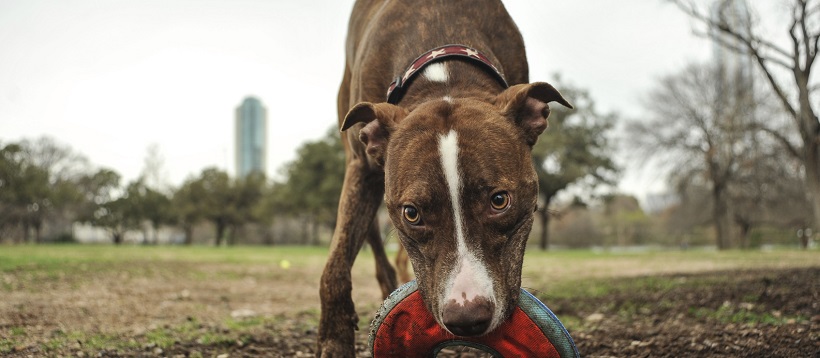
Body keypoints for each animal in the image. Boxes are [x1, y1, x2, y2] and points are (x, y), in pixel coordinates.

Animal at [318, 0, 572, 356]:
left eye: (499, 200)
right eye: (412, 213)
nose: (467, 318)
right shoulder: (360, 170)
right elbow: (336, 265)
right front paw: (334, 341)